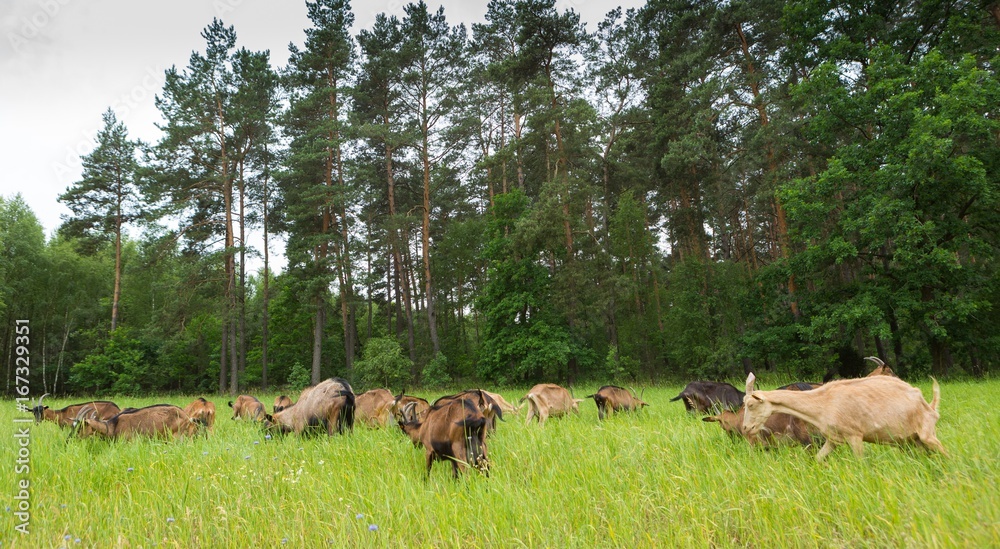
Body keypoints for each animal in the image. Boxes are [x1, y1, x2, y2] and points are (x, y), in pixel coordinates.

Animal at [742, 372, 945, 461]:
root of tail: (929, 405)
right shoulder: (833, 439)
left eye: (750, 405)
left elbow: (860, 461)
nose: (745, 429)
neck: (822, 402)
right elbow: (818, 458)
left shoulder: (854, 435)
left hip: (927, 434)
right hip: (912, 441)